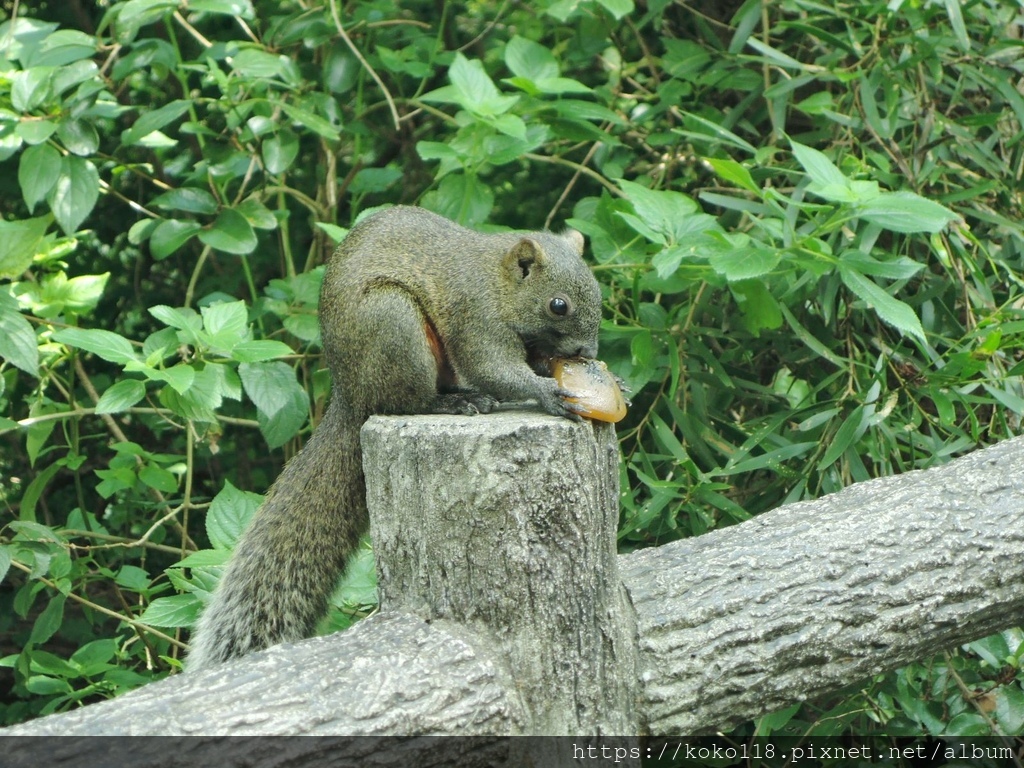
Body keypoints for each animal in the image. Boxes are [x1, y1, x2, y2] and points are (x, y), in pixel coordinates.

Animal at [186, 207, 598, 671]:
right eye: (558, 305)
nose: (587, 353)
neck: (497, 280)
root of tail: (351, 397)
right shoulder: (476, 315)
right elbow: (492, 367)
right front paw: (549, 392)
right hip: (393, 324)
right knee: (404, 401)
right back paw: (452, 403)